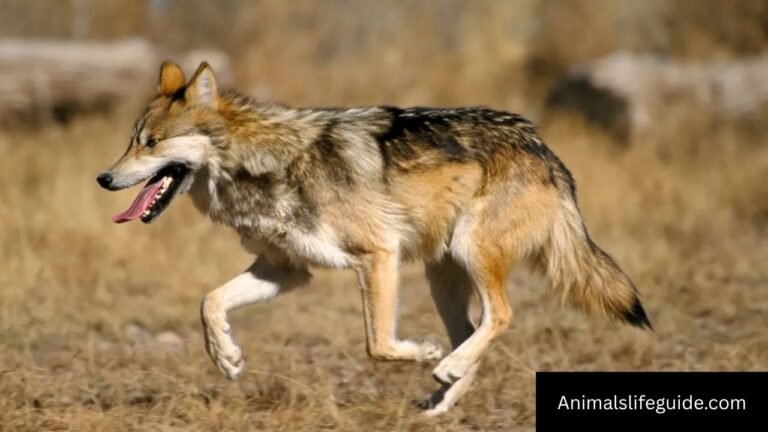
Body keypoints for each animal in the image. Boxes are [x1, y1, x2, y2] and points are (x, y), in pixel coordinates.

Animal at [97, 61, 651, 415]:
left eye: (151, 143)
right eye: (130, 141)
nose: (103, 178)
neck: (263, 164)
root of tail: (542, 147)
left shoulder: (377, 255)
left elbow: (378, 345)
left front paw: (422, 352)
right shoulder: (286, 270)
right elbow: (209, 302)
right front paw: (227, 357)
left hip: (469, 253)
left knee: (500, 317)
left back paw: (443, 366)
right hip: (442, 276)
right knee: (473, 331)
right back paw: (441, 397)